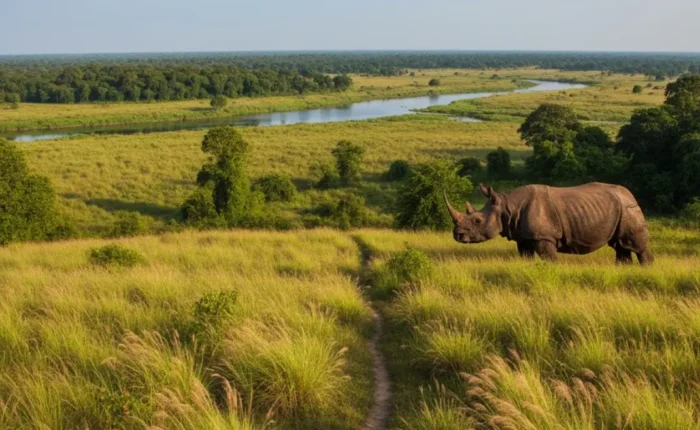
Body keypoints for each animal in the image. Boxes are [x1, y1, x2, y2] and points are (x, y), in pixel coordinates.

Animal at [444, 183, 654, 265]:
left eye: (477, 220)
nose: (457, 235)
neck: (507, 206)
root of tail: (631, 195)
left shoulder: (544, 236)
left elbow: (549, 258)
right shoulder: (524, 237)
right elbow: (525, 256)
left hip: (629, 210)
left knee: (636, 246)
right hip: (621, 210)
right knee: (621, 245)